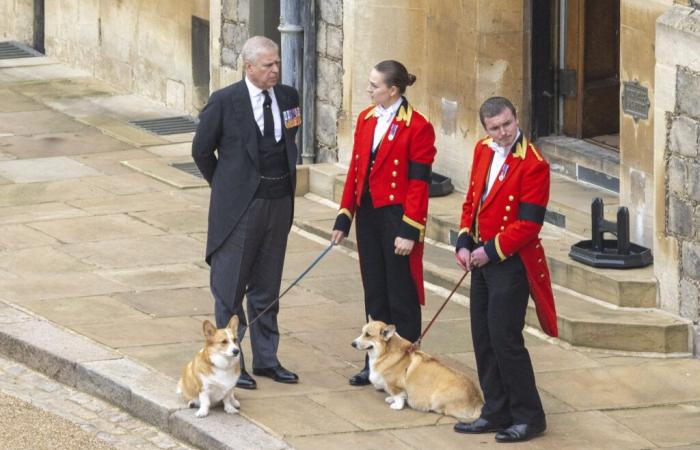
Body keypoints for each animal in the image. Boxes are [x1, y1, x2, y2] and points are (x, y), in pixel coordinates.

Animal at [350, 318, 482, 420]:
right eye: (362, 332)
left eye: (368, 335)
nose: (352, 344)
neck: (386, 352)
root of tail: (477, 401)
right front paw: (390, 399)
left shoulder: (395, 385)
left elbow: (399, 396)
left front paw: (396, 406)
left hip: (437, 398)